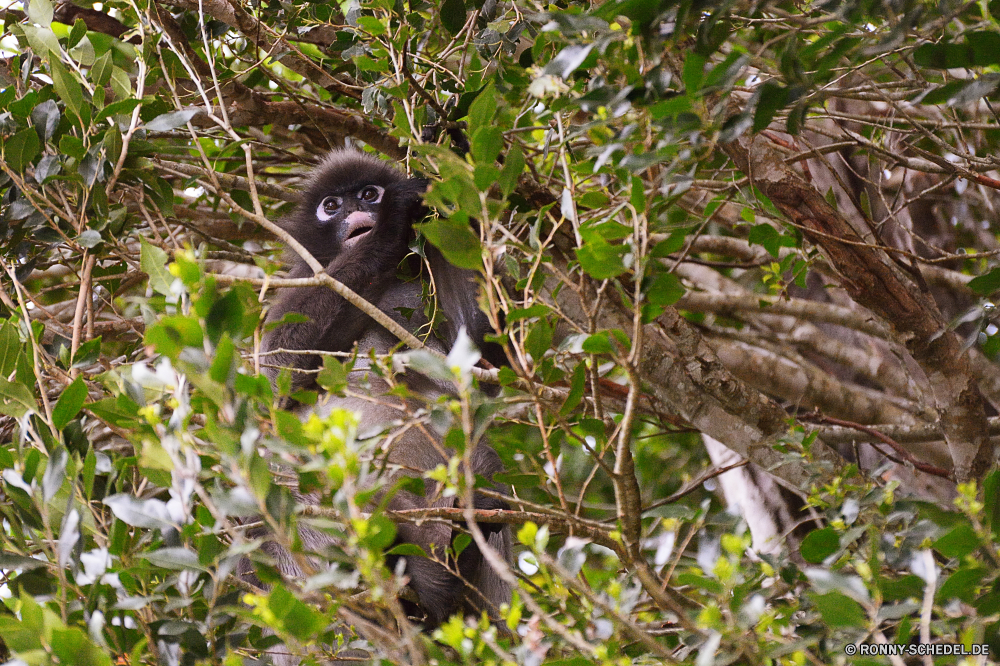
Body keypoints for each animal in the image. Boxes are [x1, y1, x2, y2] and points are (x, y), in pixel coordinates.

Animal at [242, 149, 512, 640]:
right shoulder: (301, 280)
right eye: (331, 205)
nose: (356, 213)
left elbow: (493, 359)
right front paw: (393, 221)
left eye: (368, 193)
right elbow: (275, 379)